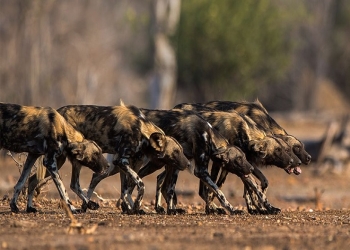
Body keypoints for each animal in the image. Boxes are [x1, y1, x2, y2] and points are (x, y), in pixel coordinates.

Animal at [28, 102, 190, 214]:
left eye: (182, 150)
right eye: (176, 152)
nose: (188, 163)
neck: (142, 130)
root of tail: (58, 111)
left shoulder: (128, 162)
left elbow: (126, 189)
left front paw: (131, 209)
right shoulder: (122, 161)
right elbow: (140, 184)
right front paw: (135, 206)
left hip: (70, 160)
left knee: (34, 180)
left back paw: (29, 207)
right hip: (67, 159)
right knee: (73, 184)